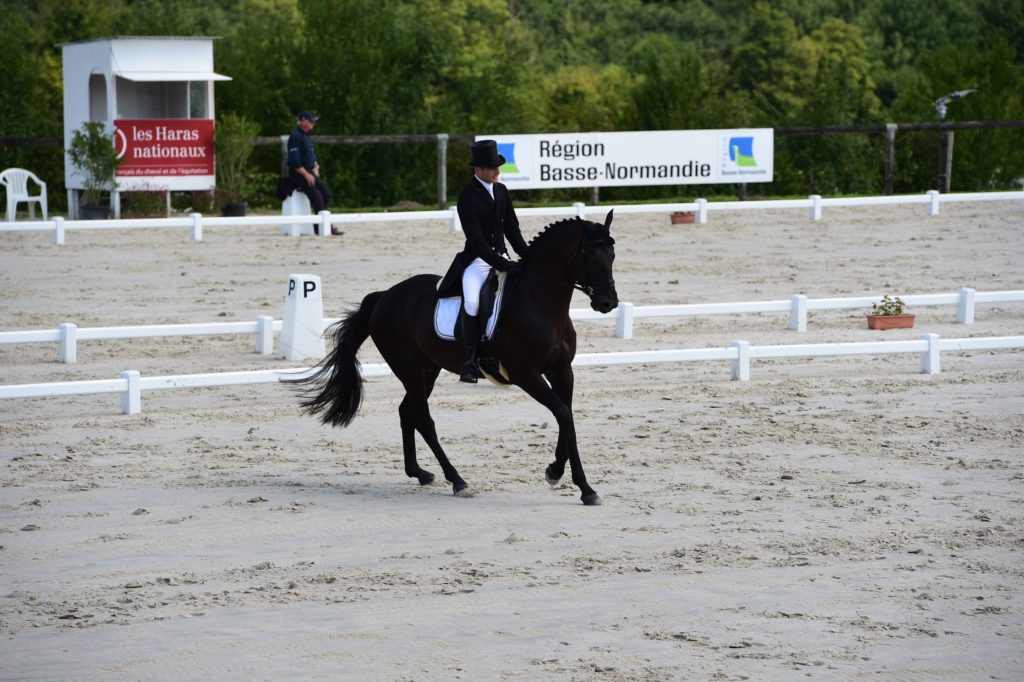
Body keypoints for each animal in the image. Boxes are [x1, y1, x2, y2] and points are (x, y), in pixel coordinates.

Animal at [292, 209, 618, 501]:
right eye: (591, 257)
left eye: (612, 256)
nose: (608, 303)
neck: (542, 304)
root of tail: (384, 296)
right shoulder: (525, 374)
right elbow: (562, 412)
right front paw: (578, 484)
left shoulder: (562, 369)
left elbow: (567, 415)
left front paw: (562, 475)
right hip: (408, 367)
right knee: (424, 419)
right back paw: (458, 480)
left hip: (427, 369)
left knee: (407, 411)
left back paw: (419, 473)